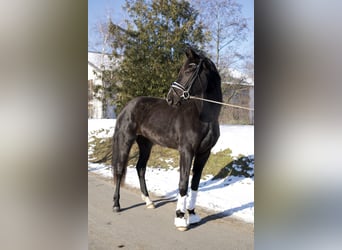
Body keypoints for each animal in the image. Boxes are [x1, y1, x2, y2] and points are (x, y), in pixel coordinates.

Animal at [111, 47, 222, 230]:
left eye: (190, 69)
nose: (171, 98)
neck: (204, 117)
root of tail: (128, 106)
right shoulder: (186, 151)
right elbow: (183, 183)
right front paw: (180, 219)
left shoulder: (204, 153)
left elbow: (195, 184)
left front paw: (192, 215)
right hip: (125, 140)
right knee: (120, 170)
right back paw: (116, 205)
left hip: (146, 144)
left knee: (140, 168)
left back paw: (148, 201)